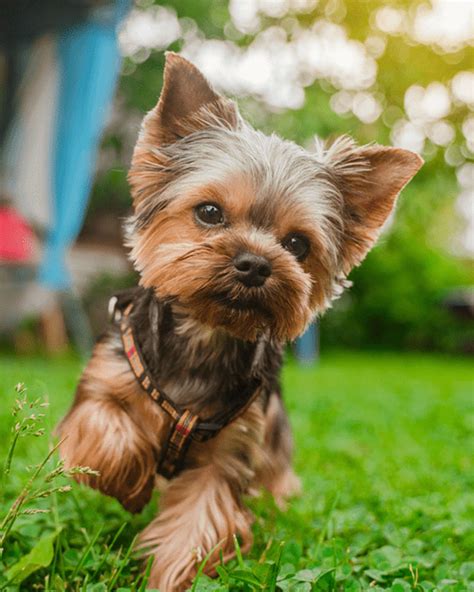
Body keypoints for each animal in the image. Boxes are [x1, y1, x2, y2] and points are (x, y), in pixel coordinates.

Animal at [58, 53, 422, 588]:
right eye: (209, 212)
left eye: (297, 244)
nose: (254, 264)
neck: (204, 334)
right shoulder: (106, 378)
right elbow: (105, 434)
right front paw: (130, 485)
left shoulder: (233, 449)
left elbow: (197, 523)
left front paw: (169, 579)